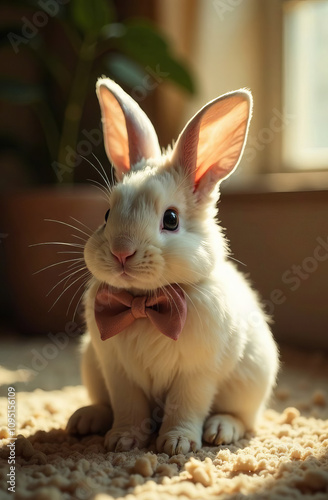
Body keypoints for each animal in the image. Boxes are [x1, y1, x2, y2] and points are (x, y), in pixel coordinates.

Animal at [67, 78, 280, 458]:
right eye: (107, 214)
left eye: (171, 219)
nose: (121, 252)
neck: (142, 305)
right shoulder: (118, 373)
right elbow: (128, 408)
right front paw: (121, 441)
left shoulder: (196, 374)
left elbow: (186, 407)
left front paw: (176, 445)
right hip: (91, 366)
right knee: (104, 405)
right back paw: (84, 420)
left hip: (252, 380)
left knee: (243, 418)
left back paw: (220, 430)